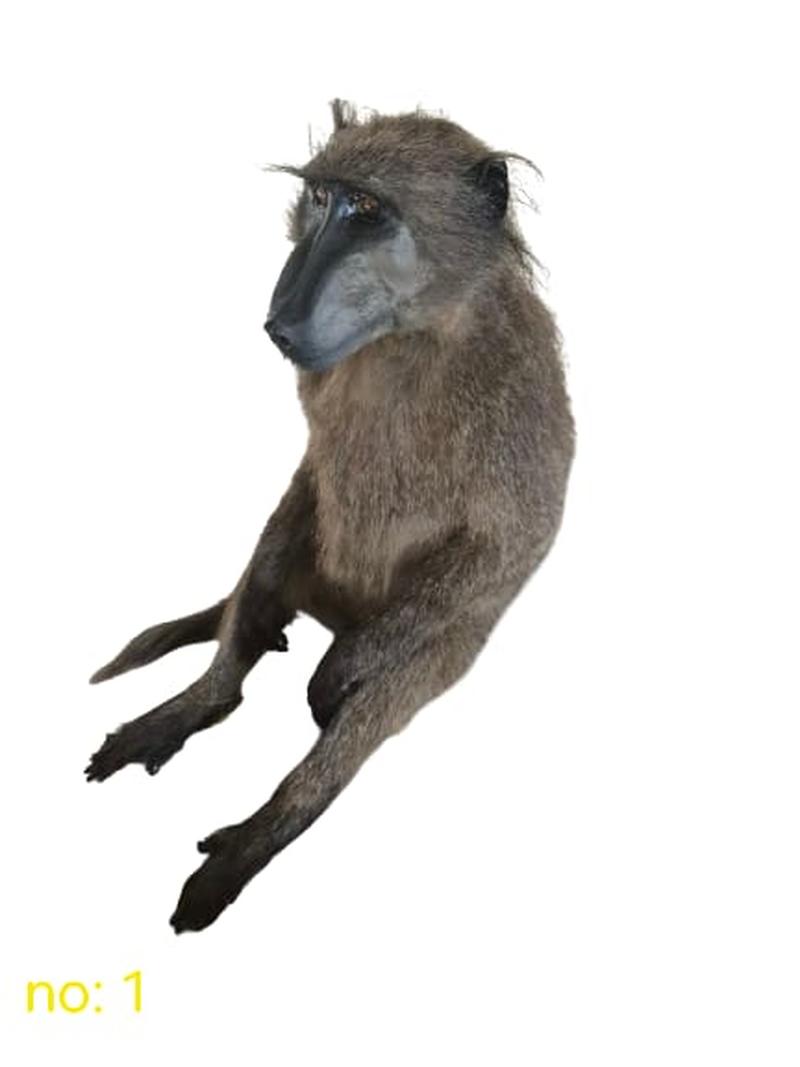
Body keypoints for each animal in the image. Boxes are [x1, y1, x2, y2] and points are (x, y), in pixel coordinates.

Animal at [85, 100, 575, 934]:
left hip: (436, 643)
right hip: (301, 571)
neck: (411, 339)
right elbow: (309, 480)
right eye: (320, 197)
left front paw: (334, 680)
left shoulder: (523, 399)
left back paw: (255, 837)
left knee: (373, 698)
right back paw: (191, 705)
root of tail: (331, 611)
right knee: (253, 609)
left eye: (369, 210)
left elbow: (511, 539)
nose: (279, 322)